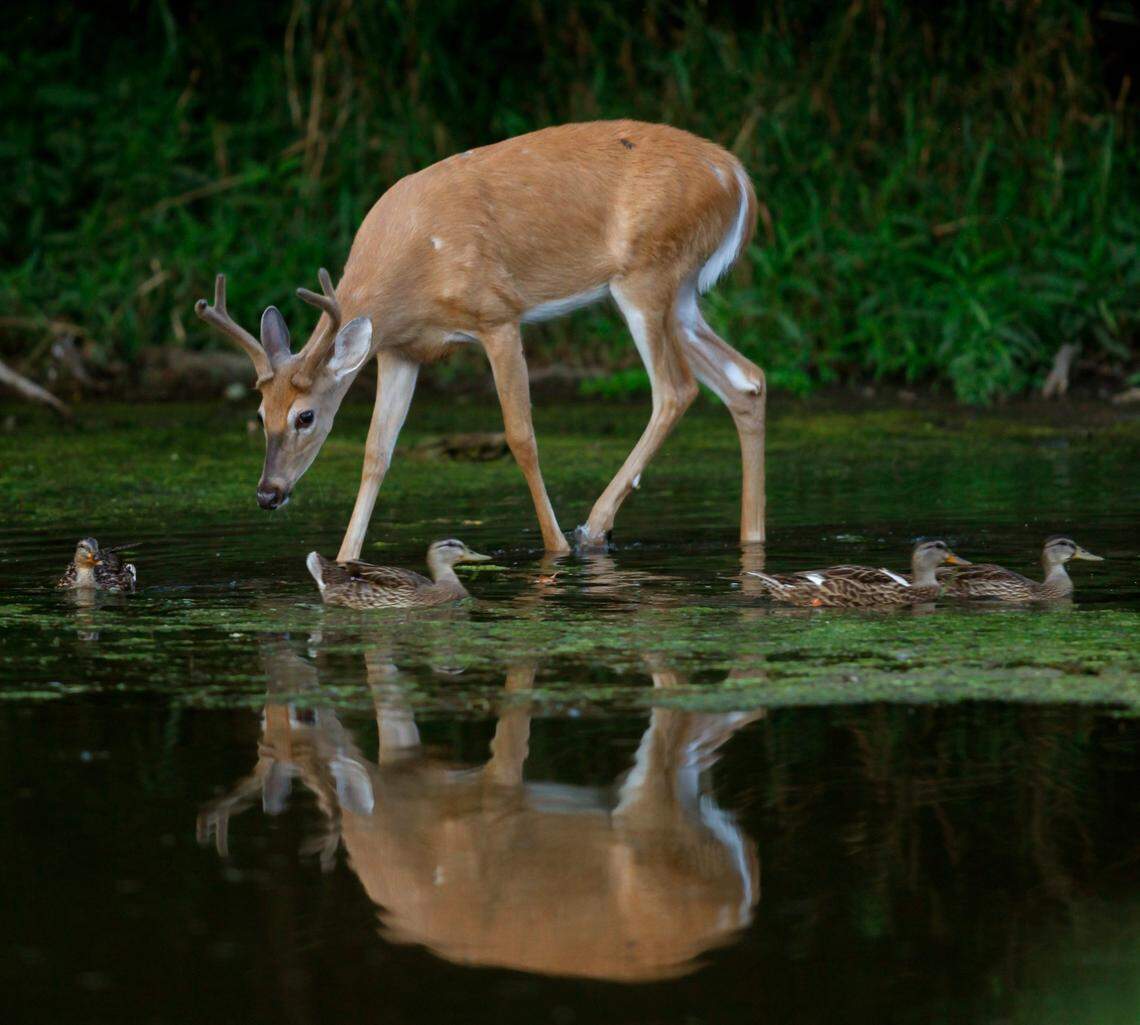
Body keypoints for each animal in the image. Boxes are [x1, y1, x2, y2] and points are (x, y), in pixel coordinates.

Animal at [194, 120, 764, 559]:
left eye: (305, 416)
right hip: (682, 294)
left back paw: (592, 528)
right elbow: (377, 453)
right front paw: (344, 559)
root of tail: (738, 177)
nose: (268, 494)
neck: (411, 274)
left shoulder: (498, 316)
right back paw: (751, 537)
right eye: (260, 414)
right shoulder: (402, 350)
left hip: (647, 276)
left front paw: (555, 547)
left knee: (676, 388)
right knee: (747, 379)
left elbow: (520, 435)